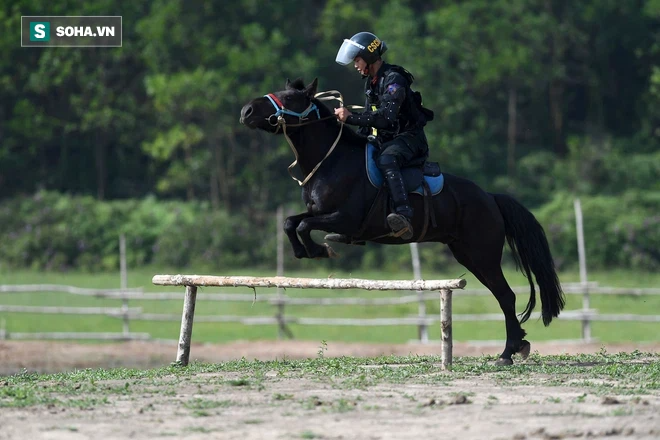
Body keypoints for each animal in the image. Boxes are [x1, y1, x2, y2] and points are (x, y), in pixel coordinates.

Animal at [240, 76, 564, 364]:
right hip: (468, 255)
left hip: (483, 255)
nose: (246, 111)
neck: (331, 162)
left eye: (290, 98)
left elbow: (305, 226)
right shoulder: (319, 212)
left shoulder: (344, 219)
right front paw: (303, 251)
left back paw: (507, 353)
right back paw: (519, 344)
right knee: (503, 296)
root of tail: (490, 197)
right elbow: (290, 222)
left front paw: (320, 250)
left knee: (506, 297)